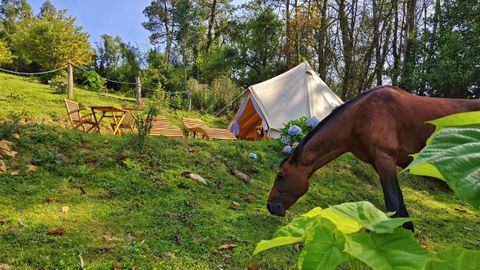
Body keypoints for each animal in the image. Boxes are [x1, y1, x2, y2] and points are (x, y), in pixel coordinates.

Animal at [266, 86, 480, 230]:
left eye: (281, 176)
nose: (270, 206)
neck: (360, 116)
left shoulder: (385, 160)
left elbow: (393, 204)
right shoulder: (380, 164)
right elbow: (399, 207)